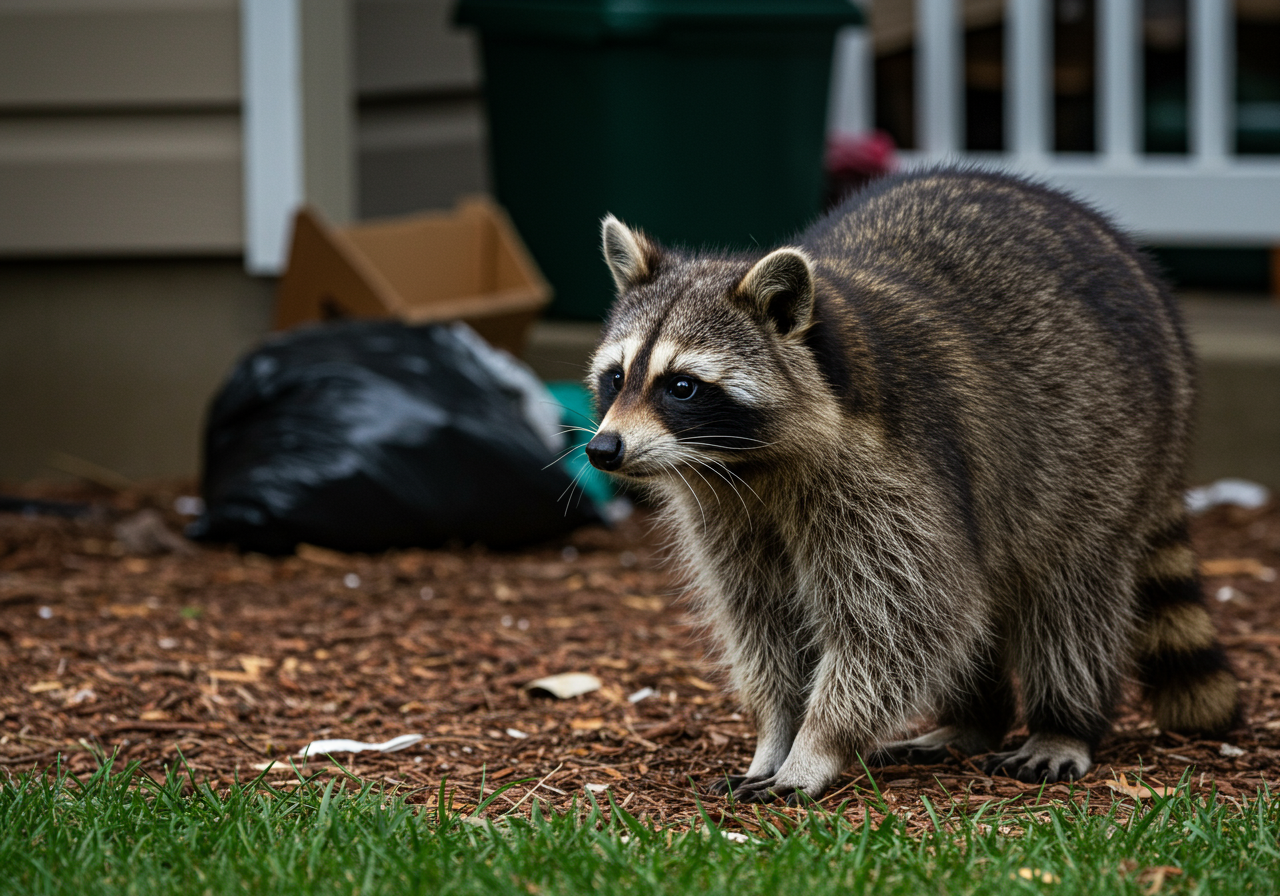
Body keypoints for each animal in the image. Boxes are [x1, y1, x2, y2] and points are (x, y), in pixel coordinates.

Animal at [583, 168, 1240, 803]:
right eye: (616, 377)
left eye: (682, 386)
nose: (602, 449)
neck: (752, 465)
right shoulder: (726, 508)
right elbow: (765, 622)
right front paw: (775, 734)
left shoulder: (890, 477)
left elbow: (901, 622)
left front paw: (815, 746)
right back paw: (973, 721)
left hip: (1106, 448)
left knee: (1069, 593)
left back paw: (1063, 721)